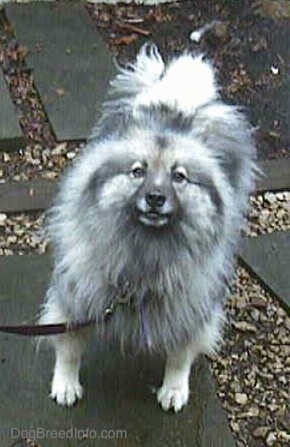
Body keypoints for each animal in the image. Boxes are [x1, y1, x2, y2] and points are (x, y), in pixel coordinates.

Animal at [39, 44, 258, 412]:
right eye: (137, 171)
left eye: (179, 176)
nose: (156, 198)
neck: (145, 251)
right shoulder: (77, 295)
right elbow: (68, 347)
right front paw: (66, 383)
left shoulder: (189, 307)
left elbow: (181, 354)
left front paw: (174, 388)